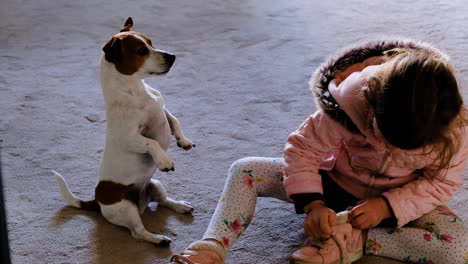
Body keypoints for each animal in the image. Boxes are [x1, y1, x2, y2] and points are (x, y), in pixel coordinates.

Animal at [52, 18, 194, 245]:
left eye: (151, 42)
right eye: (141, 51)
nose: (172, 56)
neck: (137, 89)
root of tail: (97, 201)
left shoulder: (162, 109)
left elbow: (174, 120)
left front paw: (184, 141)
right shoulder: (129, 137)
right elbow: (152, 142)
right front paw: (164, 160)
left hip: (155, 185)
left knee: (164, 202)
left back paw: (180, 206)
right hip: (126, 208)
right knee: (138, 232)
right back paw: (158, 239)